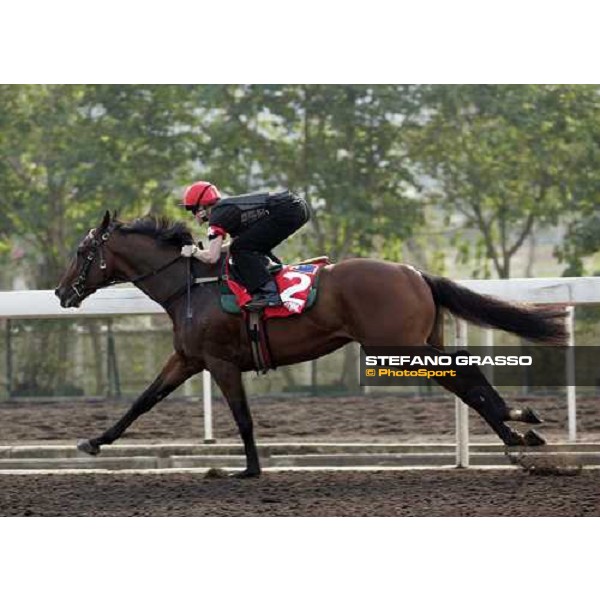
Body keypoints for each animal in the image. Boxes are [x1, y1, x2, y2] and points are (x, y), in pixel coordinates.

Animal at [52, 212, 568, 478]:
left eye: (82, 252)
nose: (60, 292)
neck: (190, 285)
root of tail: (415, 272)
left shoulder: (220, 362)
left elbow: (242, 417)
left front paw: (249, 470)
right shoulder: (187, 358)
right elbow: (142, 401)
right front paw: (93, 442)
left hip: (396, 343)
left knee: (463, 371)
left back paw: (518, 425)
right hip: (414, 342)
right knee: (460, 376)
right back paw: (517, 432)